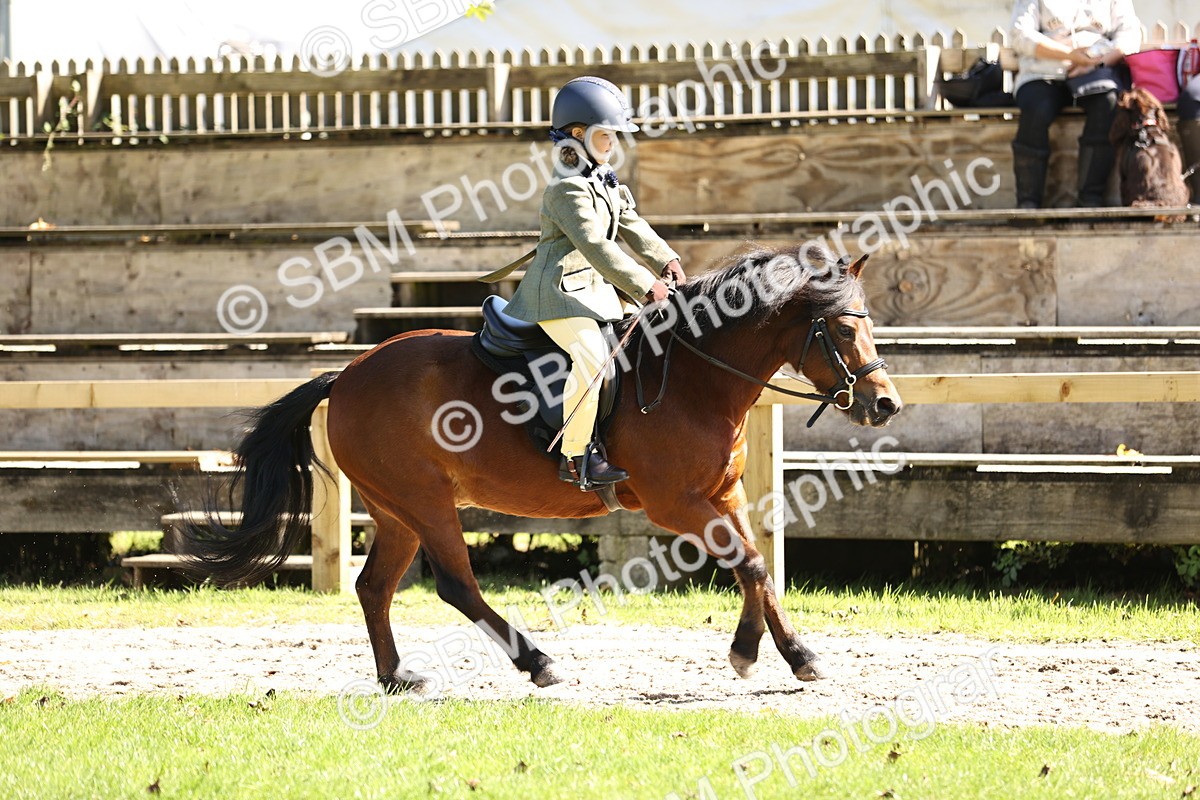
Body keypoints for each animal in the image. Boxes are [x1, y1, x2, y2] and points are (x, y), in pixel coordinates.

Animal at [185, 242, 902, 691]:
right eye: (842, 331)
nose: (886, 403)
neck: (695, 376)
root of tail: (348, 372)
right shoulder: (677, 504)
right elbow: (751, 565)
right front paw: (753, 654)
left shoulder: (720, 498)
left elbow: (758, 570)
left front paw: (792, 655)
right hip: (426, 504)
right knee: (456, 586)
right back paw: (537, 663)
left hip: (397, 511)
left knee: (373, 587)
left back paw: (396, 678)